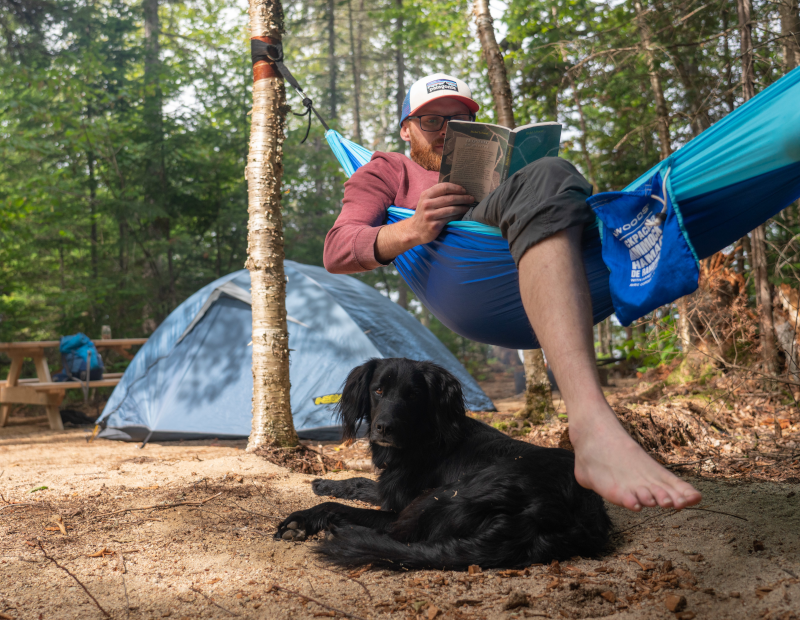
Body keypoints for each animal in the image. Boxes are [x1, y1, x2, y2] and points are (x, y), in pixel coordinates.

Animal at [276, 356, 612, 568]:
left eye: (413, 395)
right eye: (378, 390)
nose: (383, 428)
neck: (422, 440)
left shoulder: (399, 505)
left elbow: (343, 505)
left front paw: (304, 518)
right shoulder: (392, 490)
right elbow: (362, 482)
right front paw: (323, 482)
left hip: (444, 496)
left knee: (397, 532)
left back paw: (339, 530)